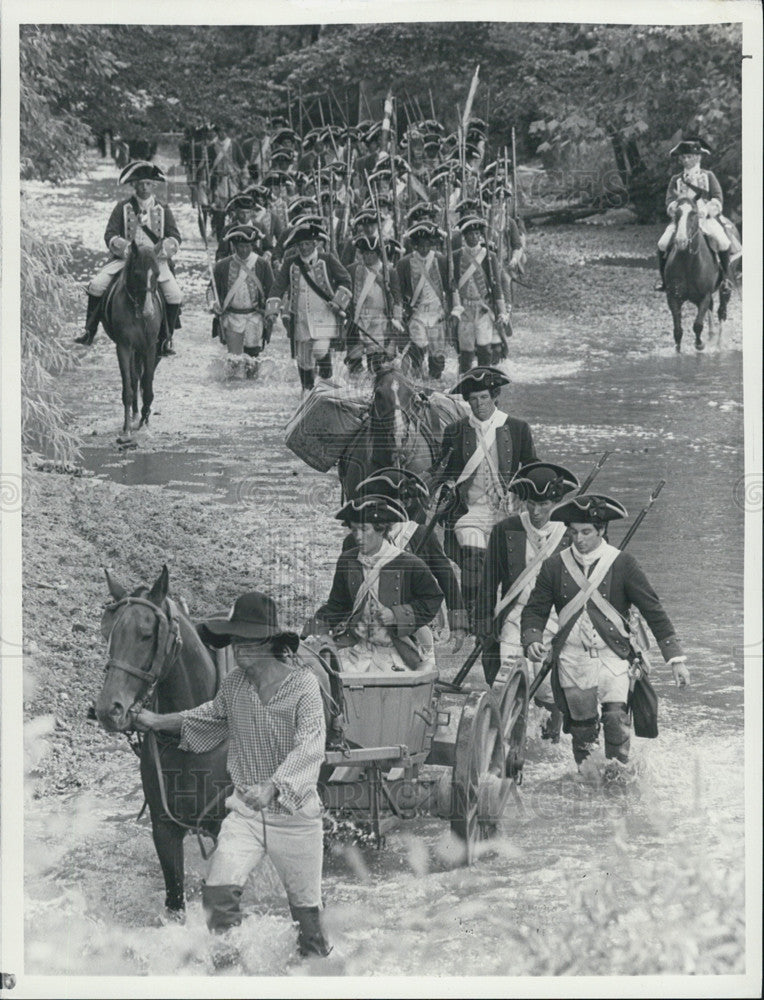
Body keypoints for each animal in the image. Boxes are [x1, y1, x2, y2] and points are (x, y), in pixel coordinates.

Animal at [100, 238, 163, 442]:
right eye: (137, 274)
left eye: (157, 274)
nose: (149, 312)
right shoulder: (124, 347)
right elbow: (128, 388)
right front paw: (127, 429)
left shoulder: (150, 347)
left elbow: (147, 387)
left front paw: (145, 425)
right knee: (134, 379)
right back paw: (134, 416)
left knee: (141, 380)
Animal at [664, 195, 736, 352]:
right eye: (676, 213)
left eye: (693, 213)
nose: (681, 241)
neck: (688, 261)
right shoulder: (673, 297)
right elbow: (677, 331)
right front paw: (678, 350)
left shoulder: (704, 296)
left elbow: (697, 325)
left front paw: (699, 344)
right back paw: (711, 334)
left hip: (723, 290)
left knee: (721, 312)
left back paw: (719, 343)